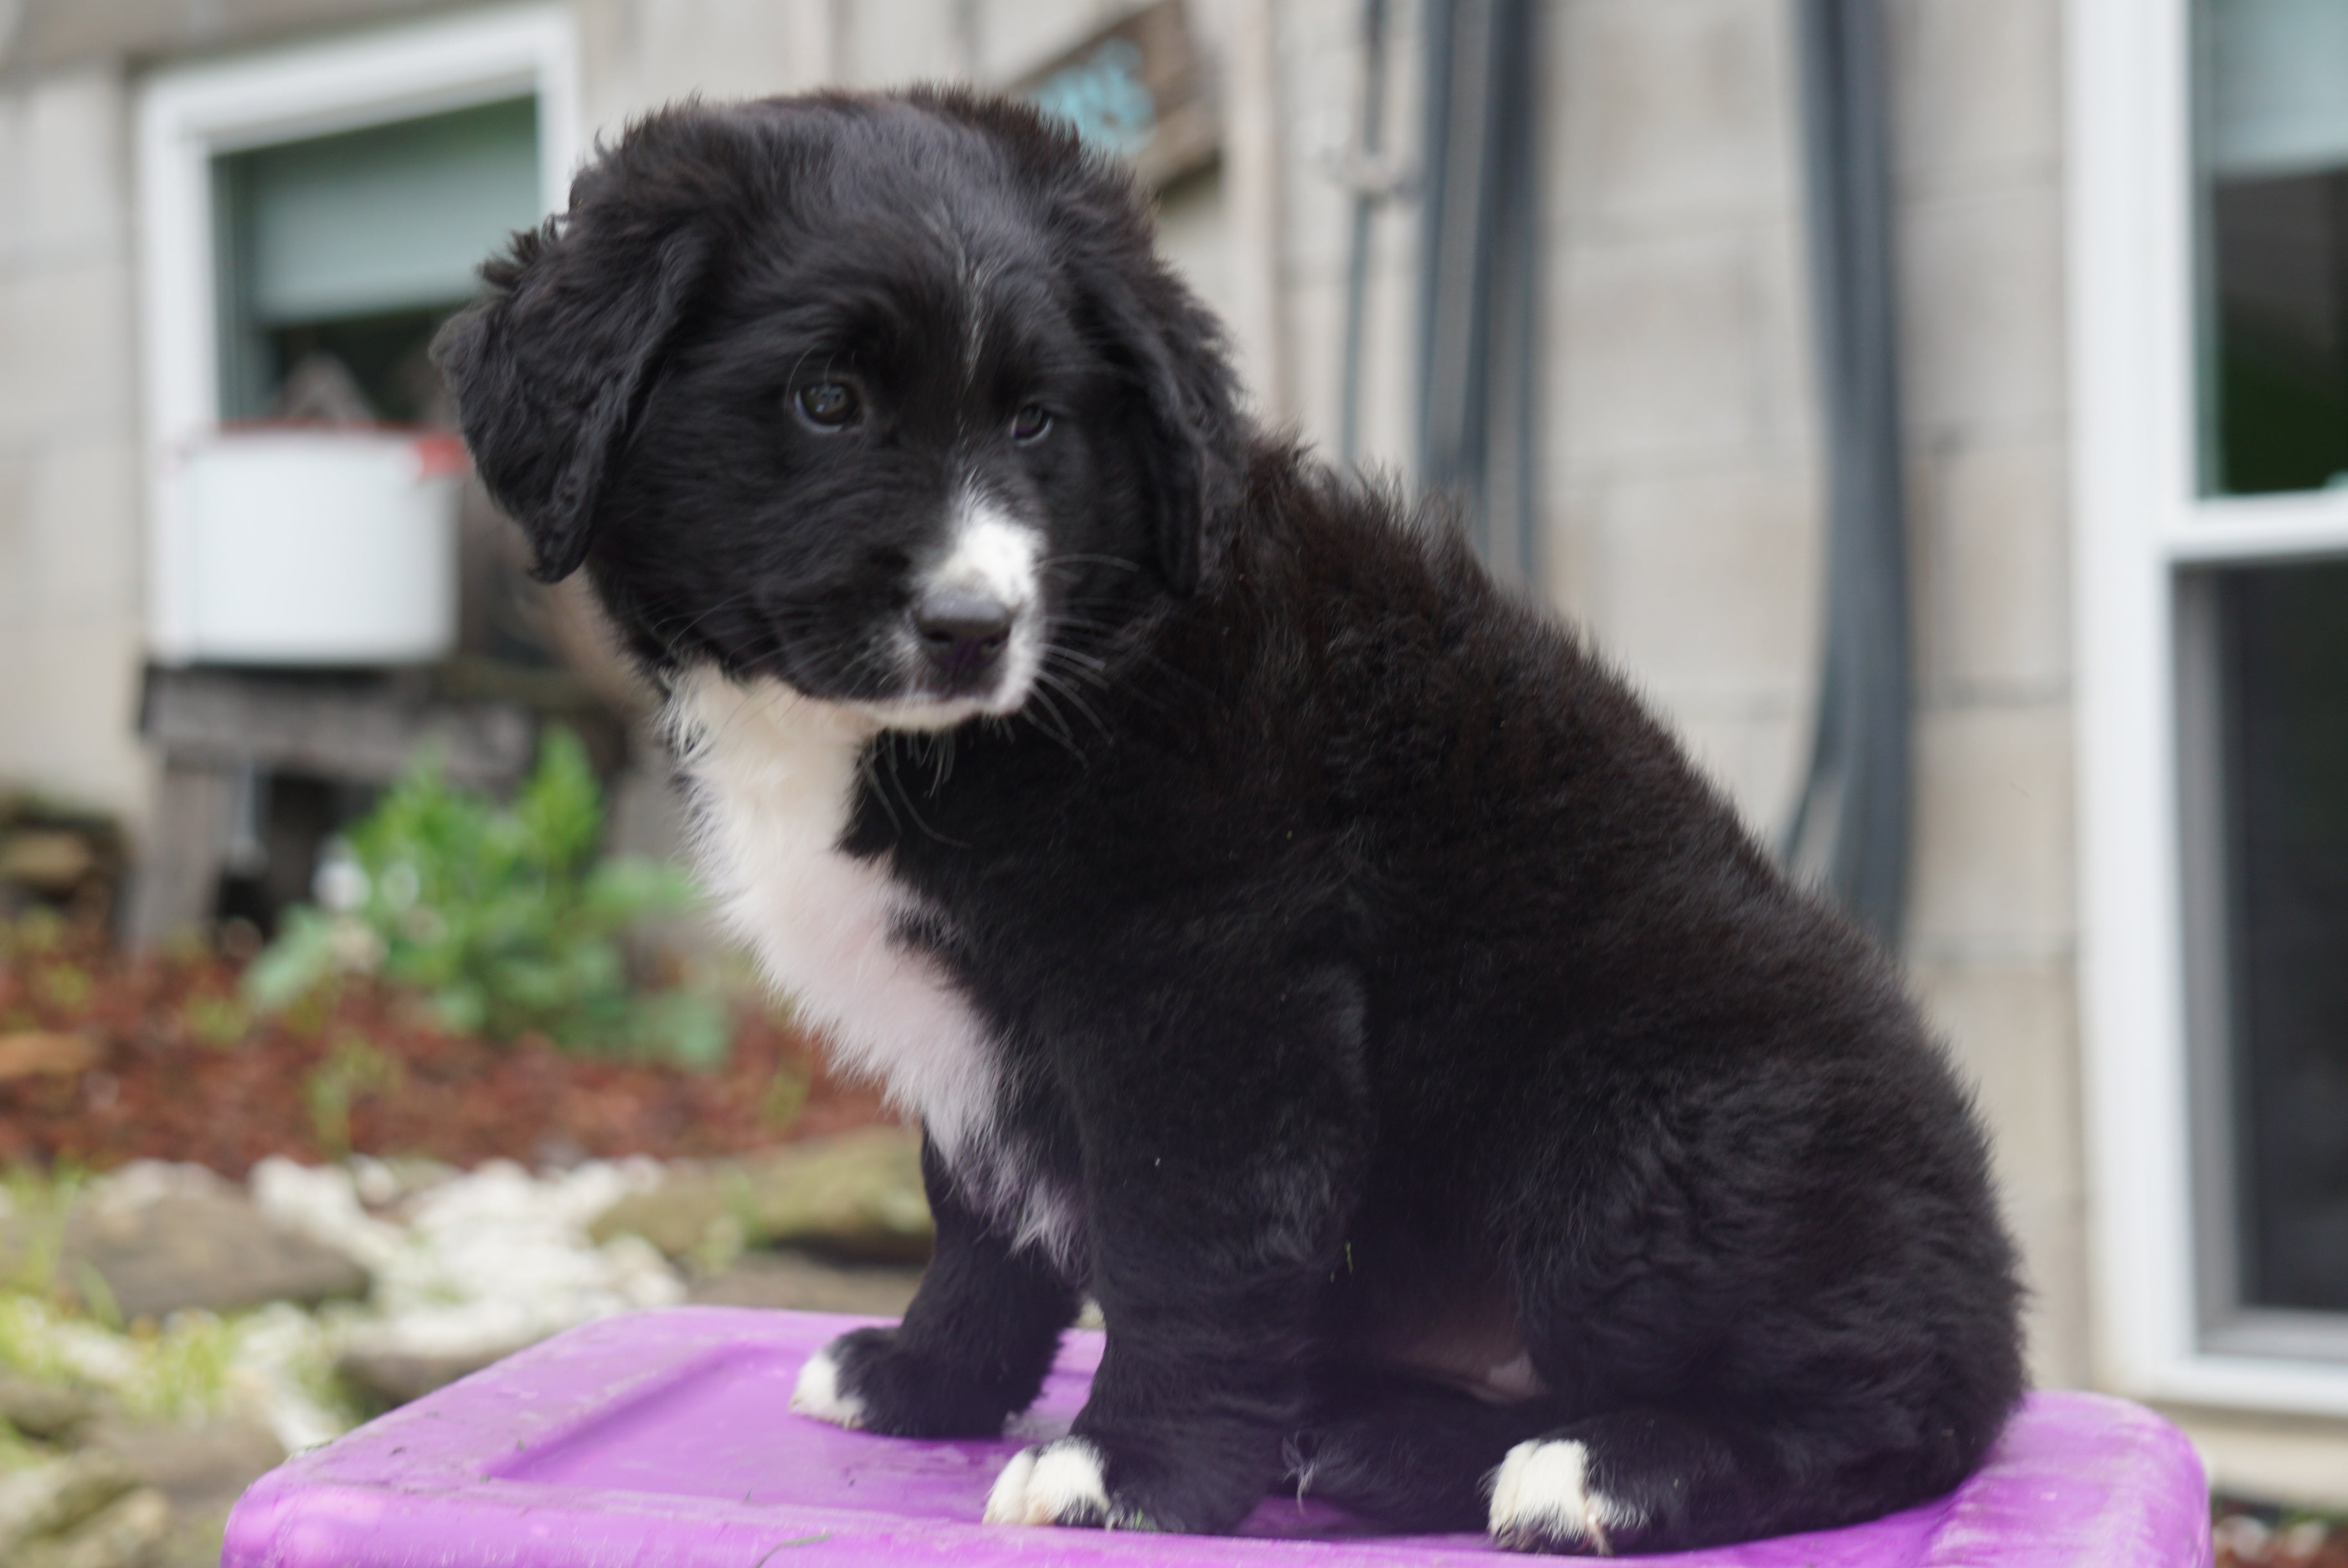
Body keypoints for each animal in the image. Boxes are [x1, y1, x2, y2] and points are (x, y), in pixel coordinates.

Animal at [441, 89, 2019, 1559]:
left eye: (1036, 422)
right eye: (825, 400)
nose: (972, 628)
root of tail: (1983, 1288)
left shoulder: (1201, 985)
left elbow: (1184, 1241)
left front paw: (1125, 1474)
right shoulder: (976, 1028)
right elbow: (979, 1206)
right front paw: (928, 1379)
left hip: (1647, 1131)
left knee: (1895, 1412)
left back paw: (1606, 1471)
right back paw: (1382, 1441)